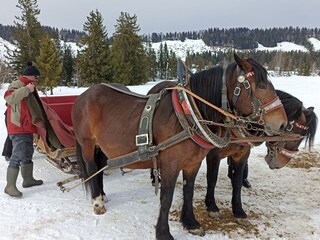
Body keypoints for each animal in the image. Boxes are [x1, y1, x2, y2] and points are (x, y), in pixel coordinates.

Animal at [71, 54, 286, 240]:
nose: (282, 123)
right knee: (91, 167)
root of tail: (83, 96)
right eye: (261, 85)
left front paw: (190, 223)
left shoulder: (193, 163)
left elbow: (188, 191)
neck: (187, 114)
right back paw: (97, 201)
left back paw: (102, 195)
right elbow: (167, 198)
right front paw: (163, 233)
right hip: (87, 143)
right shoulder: (170, 164)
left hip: (101, 146)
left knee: (99, 168)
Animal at [205, 89, 318, 226]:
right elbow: (212, 179)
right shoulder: (213, 154)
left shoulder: (242, 154)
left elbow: (237, 182)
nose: (280, 164)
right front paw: (212, 207)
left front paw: (239, 212)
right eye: (294, 134)